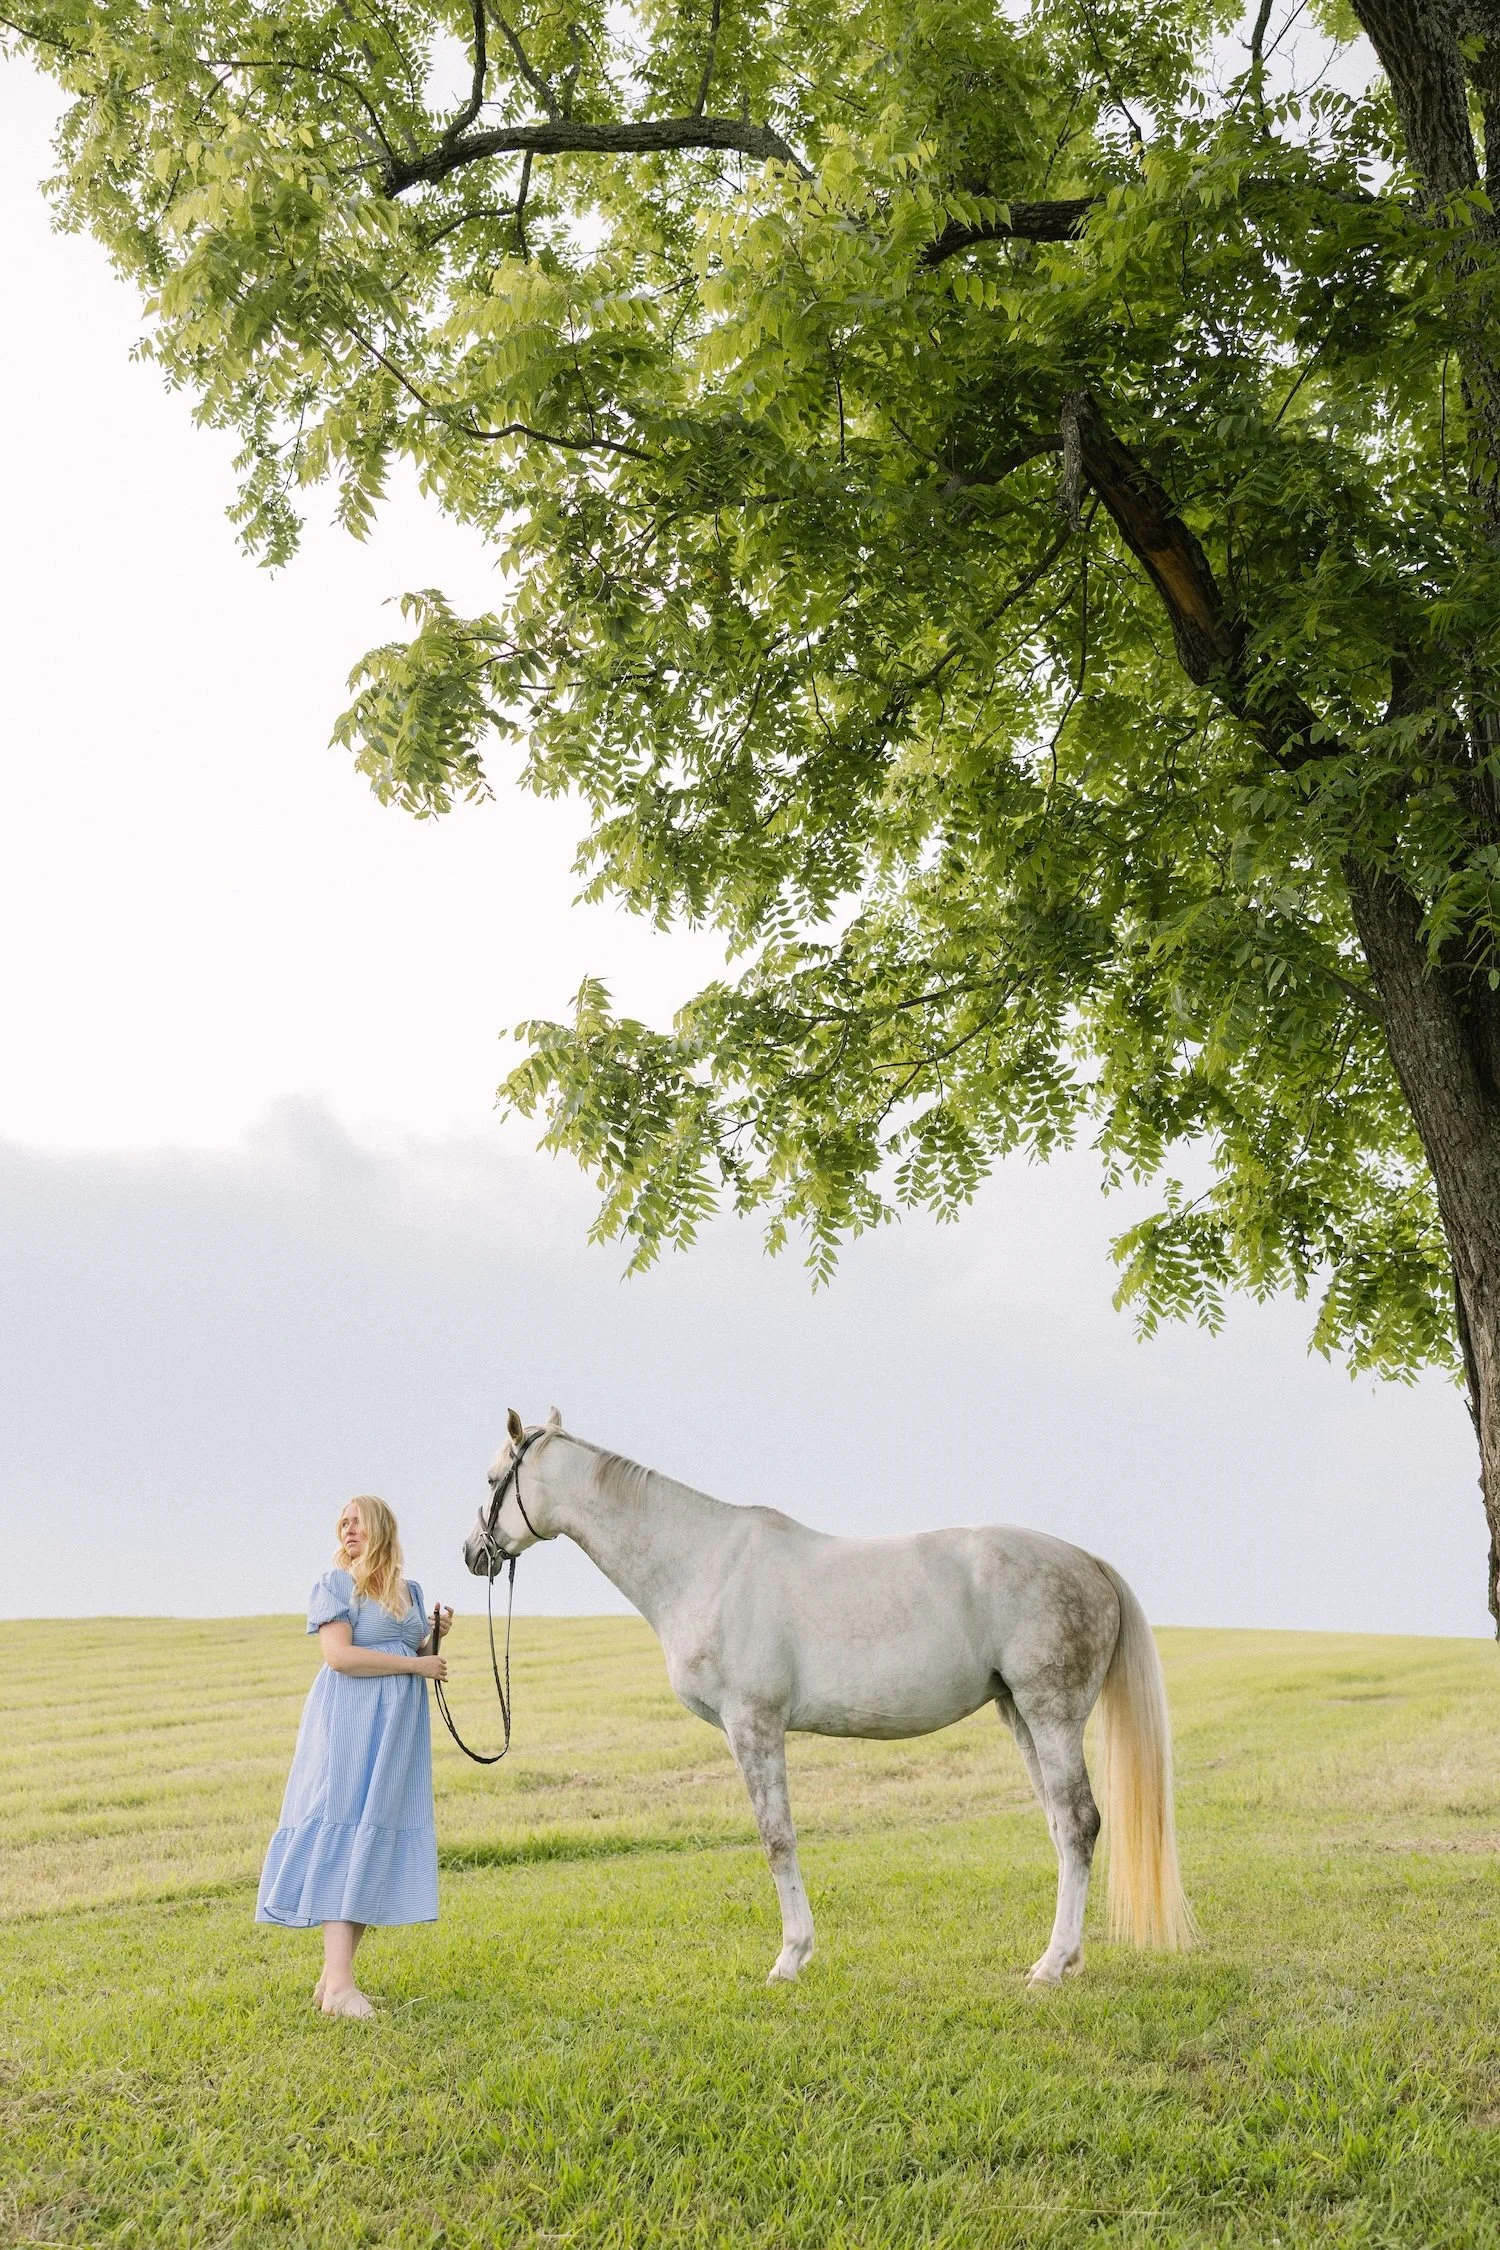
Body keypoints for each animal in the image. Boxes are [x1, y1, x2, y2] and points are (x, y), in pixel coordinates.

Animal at [463, 1409, 1194, 1985]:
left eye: (494, 1478)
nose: (474, 1553)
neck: (704, 1564)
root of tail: (1088, 1562)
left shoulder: (754, 1727)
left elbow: (777, 1840)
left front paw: (790, 1958)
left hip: (1051, 1712)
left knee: (1079, 1822)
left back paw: (1050, 1966)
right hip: (1019, 1713)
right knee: (1059, 1825)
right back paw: (1064, 1958)